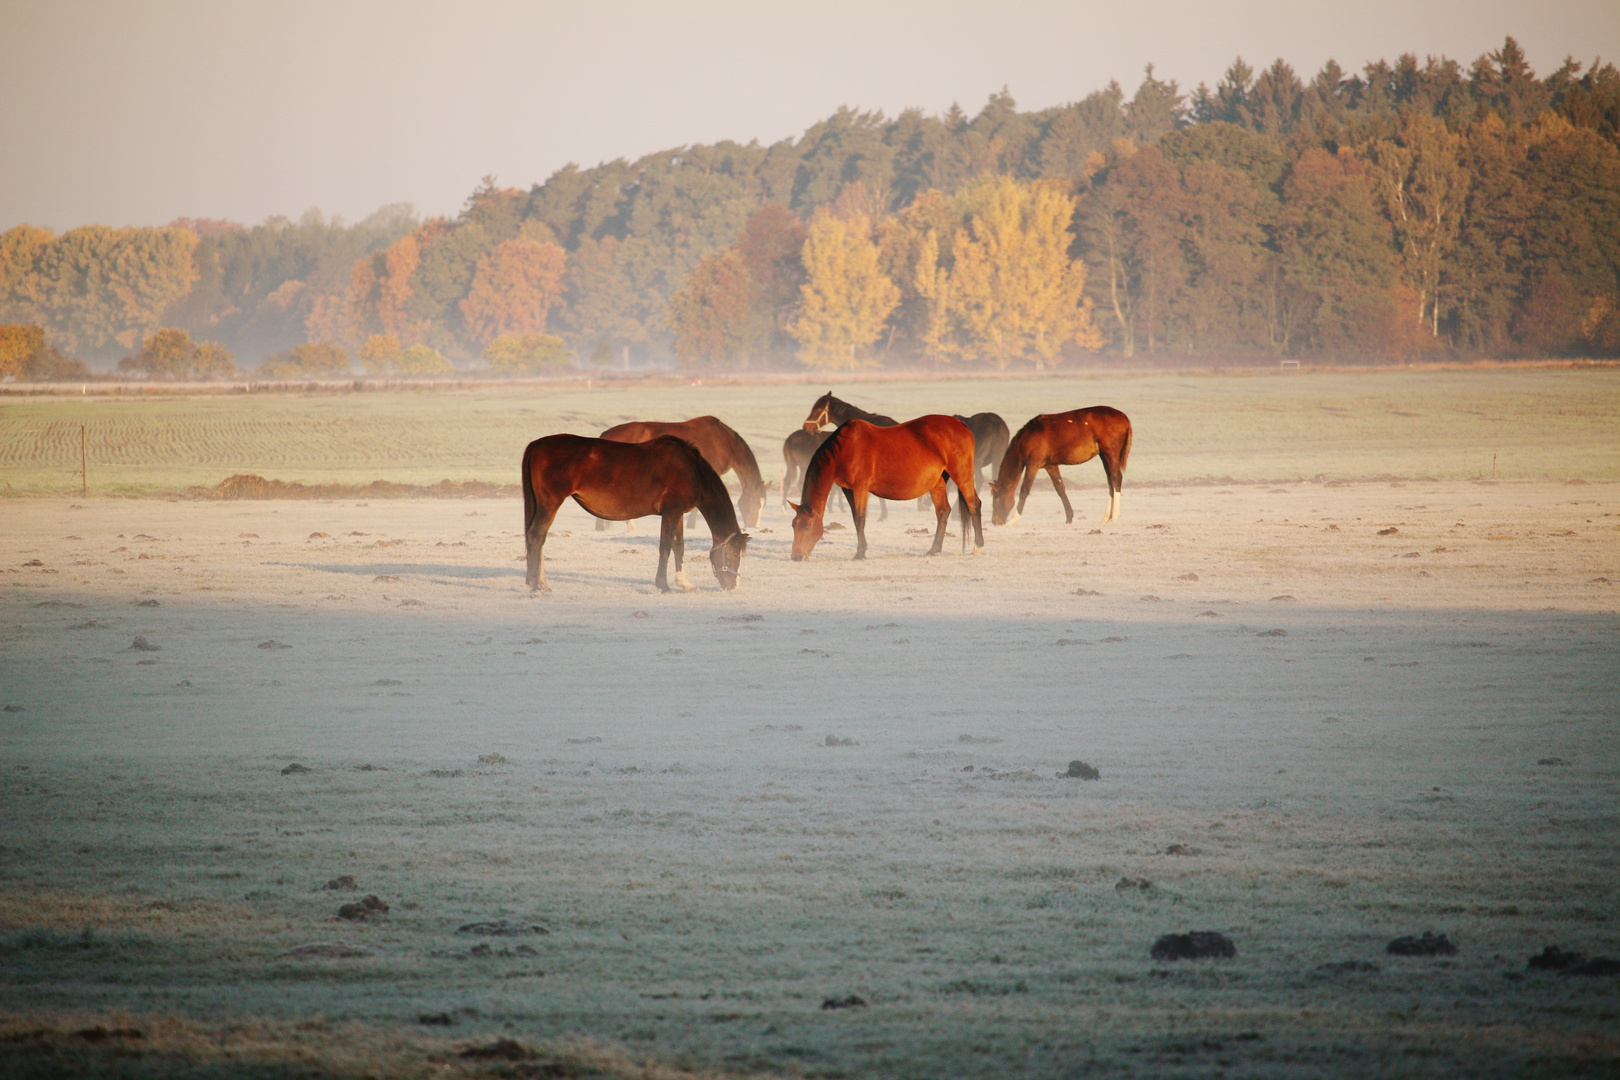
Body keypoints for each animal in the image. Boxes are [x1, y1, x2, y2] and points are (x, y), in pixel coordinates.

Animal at [521, 433, 748, 595]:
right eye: (734, 554)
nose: (733, 586)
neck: (692, 469)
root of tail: (537, 445)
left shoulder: (678, 514)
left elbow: (679, 546)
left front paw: (685, 583)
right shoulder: (671, 512)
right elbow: (665, 546)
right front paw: (663, 585)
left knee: (538, 540)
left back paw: (541, 582)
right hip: (550, 503)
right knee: (536, 536)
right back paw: (534, 584)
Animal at [787, 417, 978, 563]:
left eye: (806, 526)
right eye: (793, 525)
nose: (796, 556)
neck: (847, 447)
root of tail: (961, 424)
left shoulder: (860, 487)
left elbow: (860, 519)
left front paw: (860, 553)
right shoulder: (847, 489)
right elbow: (855, 519)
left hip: (962, 475)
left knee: (974, 504)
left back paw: (977, 547)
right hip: (938, 481)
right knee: (943, 511)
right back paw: (934, 550)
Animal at [984, 408, 1127, 524]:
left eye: (996, 500)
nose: (995, 521)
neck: (1027, 438)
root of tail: (1123, 416)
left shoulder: (1032, 466)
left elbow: (1025, 490)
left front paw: (1014, 519)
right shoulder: (1051, 466)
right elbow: (1060, 489)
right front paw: (1069, 517)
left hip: (1111, 454)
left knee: (1116, 478)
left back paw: (1115, 517)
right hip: (1104, 456)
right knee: (1110, 481)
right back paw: (1105, 518)